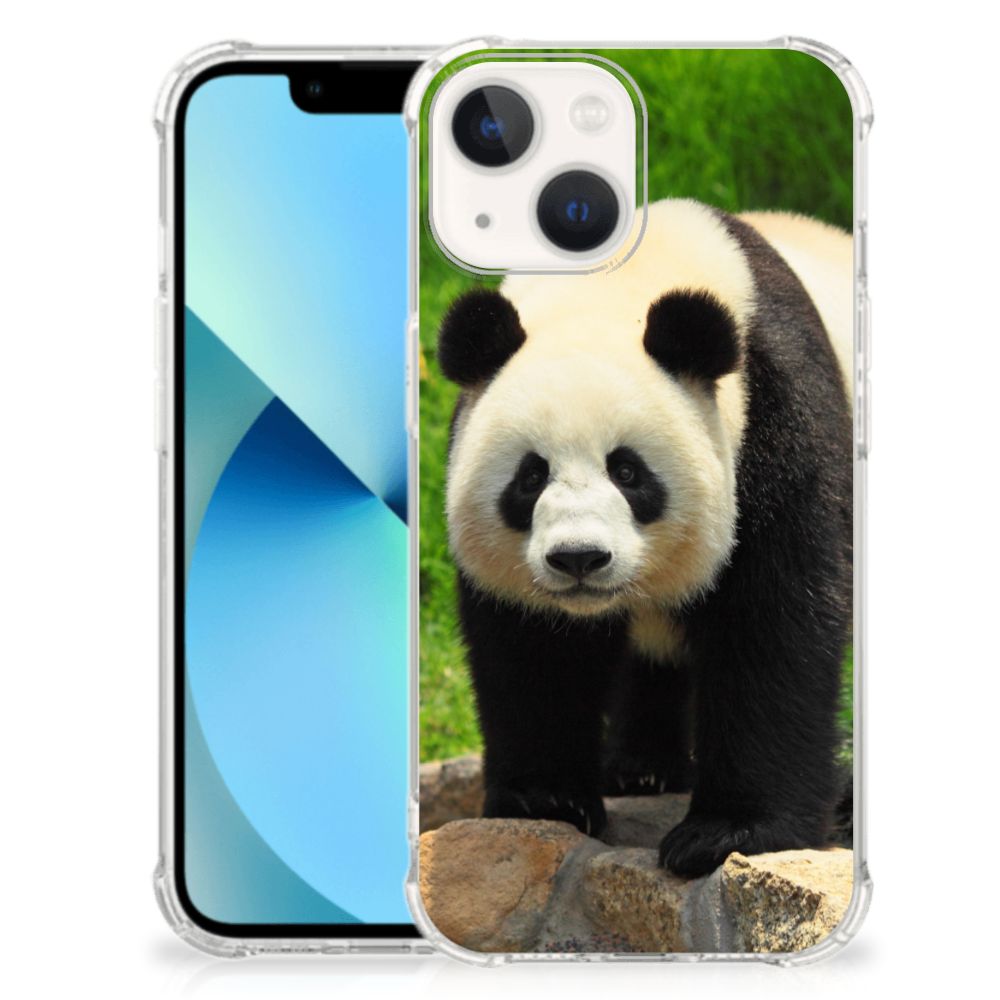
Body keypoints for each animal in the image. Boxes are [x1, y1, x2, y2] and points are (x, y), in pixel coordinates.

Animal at [435, 198, 853, 878]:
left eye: (628, 472)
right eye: (530, 476)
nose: (579, 558)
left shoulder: (776, 420)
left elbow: (774, 623)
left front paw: (726, 833)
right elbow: (532, 647)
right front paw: (545, 799)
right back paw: (641, 768)